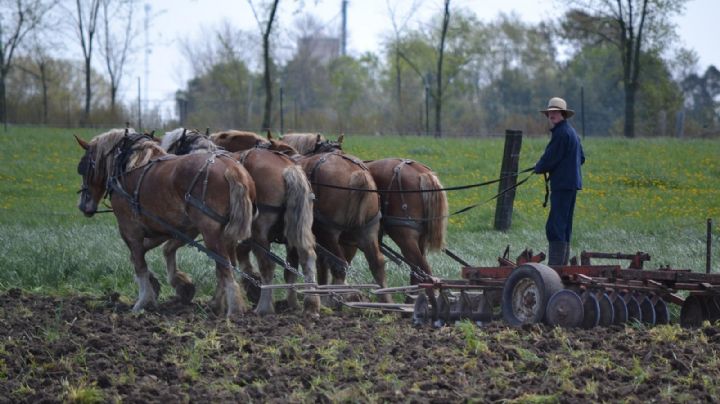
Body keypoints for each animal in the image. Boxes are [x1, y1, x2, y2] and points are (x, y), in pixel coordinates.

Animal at [75, 128, 256, 318]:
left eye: (83, 167)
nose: (83, 205)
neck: (128, 167)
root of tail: (232, 169)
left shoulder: (130, 229)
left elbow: (139, 264)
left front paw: (143, 302)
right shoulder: (174, 229)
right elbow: (157, 252)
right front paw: (178, 285)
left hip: (211, 233)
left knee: (225, 267)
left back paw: (233, 310)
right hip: (226, 235)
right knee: (227, 267)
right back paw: (219, 305)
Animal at [165, 126, 322, 316]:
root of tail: (288, 168)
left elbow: (223, 266)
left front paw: (220, 302)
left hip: (260, 233)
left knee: (267, 265)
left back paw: (264, 307)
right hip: (297, 228)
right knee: (306, 258)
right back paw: (308, 304)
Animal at [280, 133, 444, 284]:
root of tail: (423, 173)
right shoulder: (350, 241)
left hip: (403, 234)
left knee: (422, 269)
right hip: (418, 236)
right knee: (416, 271)